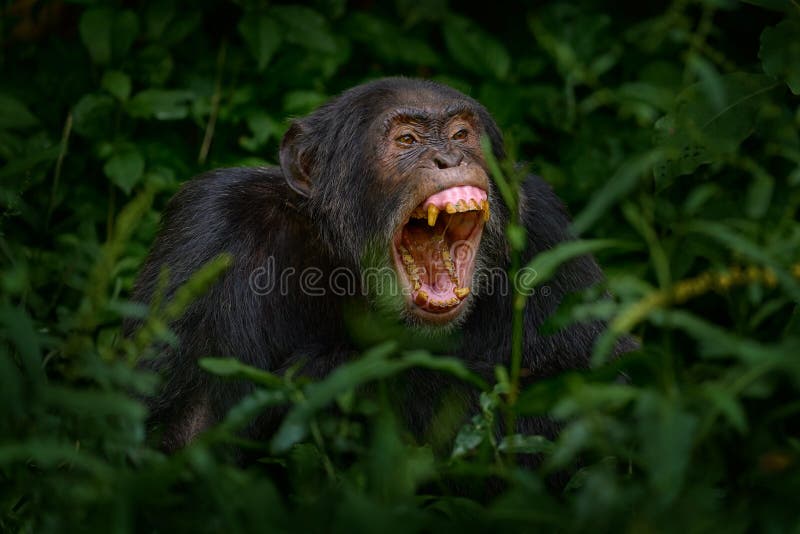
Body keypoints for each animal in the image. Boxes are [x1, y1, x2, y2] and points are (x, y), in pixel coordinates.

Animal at [130, 78, 632, 456]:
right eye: (407, 140)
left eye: (460, 135)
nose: (450, 157)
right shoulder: (210, 230)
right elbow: (180, 426)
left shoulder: (545, 228)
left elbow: (593, 392)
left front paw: (329, 376)